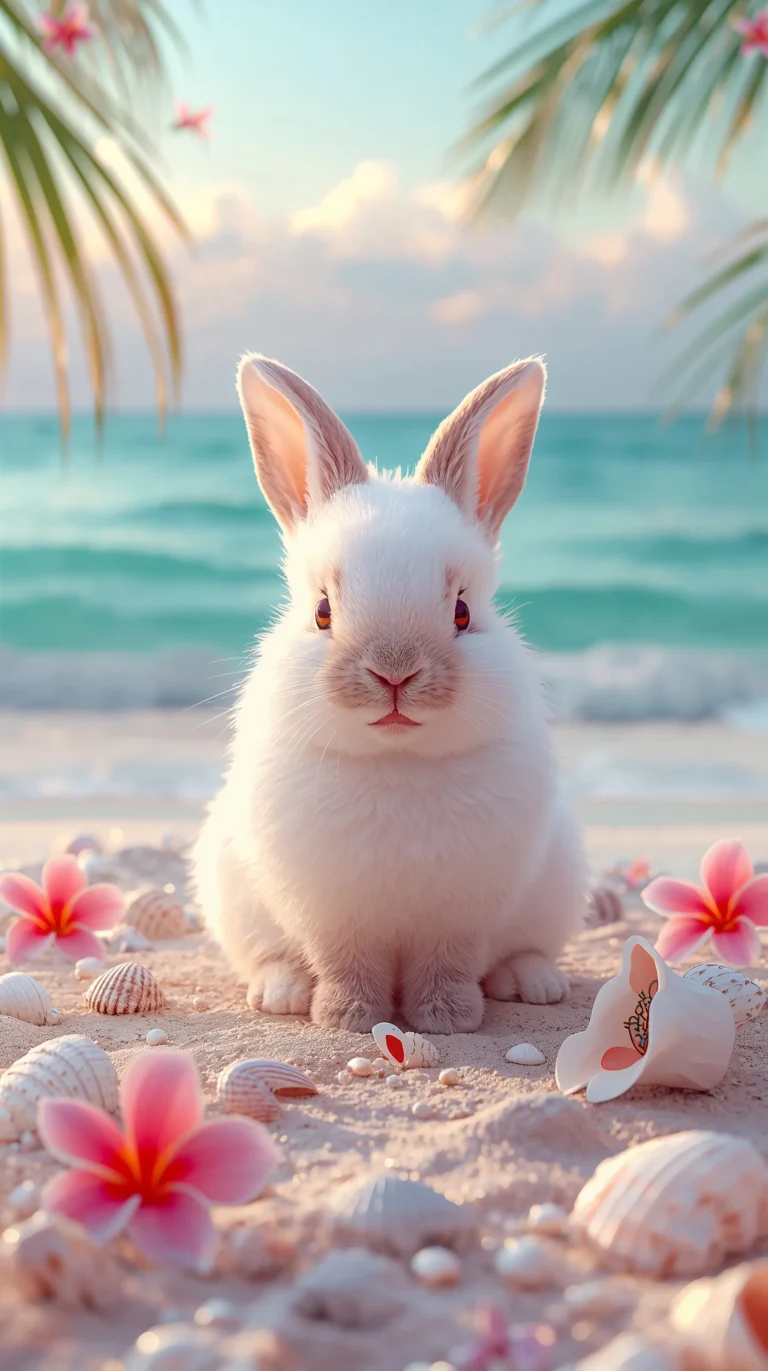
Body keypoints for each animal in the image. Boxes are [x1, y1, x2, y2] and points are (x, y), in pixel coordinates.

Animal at [193, 352, 586, 1034]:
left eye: (462, 612)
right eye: (322, 611)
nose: (395, 674)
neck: (395, 760)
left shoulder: (461, 915)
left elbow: (448, 963)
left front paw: (446, 1020)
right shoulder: (332, 914)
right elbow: (347, 963)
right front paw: (348, 1017)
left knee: (525, 950)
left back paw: (534, 983)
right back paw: (283, 993)